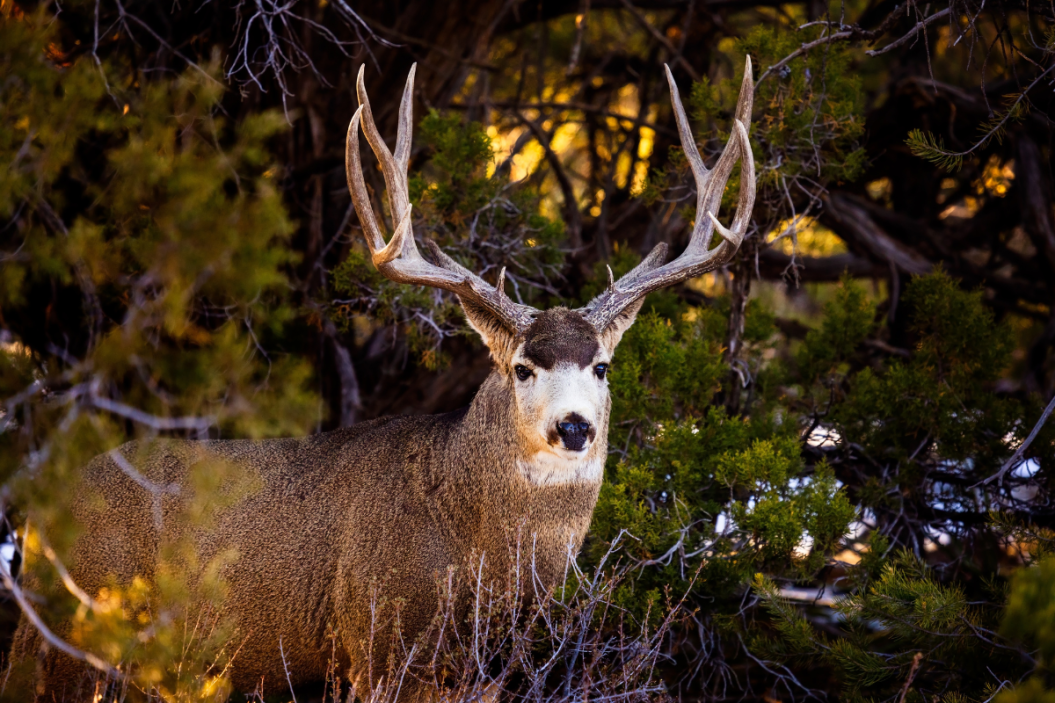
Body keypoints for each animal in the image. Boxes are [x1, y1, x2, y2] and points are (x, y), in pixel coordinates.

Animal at [9, 58, 755, 701]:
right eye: (521, 367)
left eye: (601, 365)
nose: (573, 427)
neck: (474, 547)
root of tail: (42, 509)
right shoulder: (378, 642)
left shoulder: (485, 672)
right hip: (68, 629)